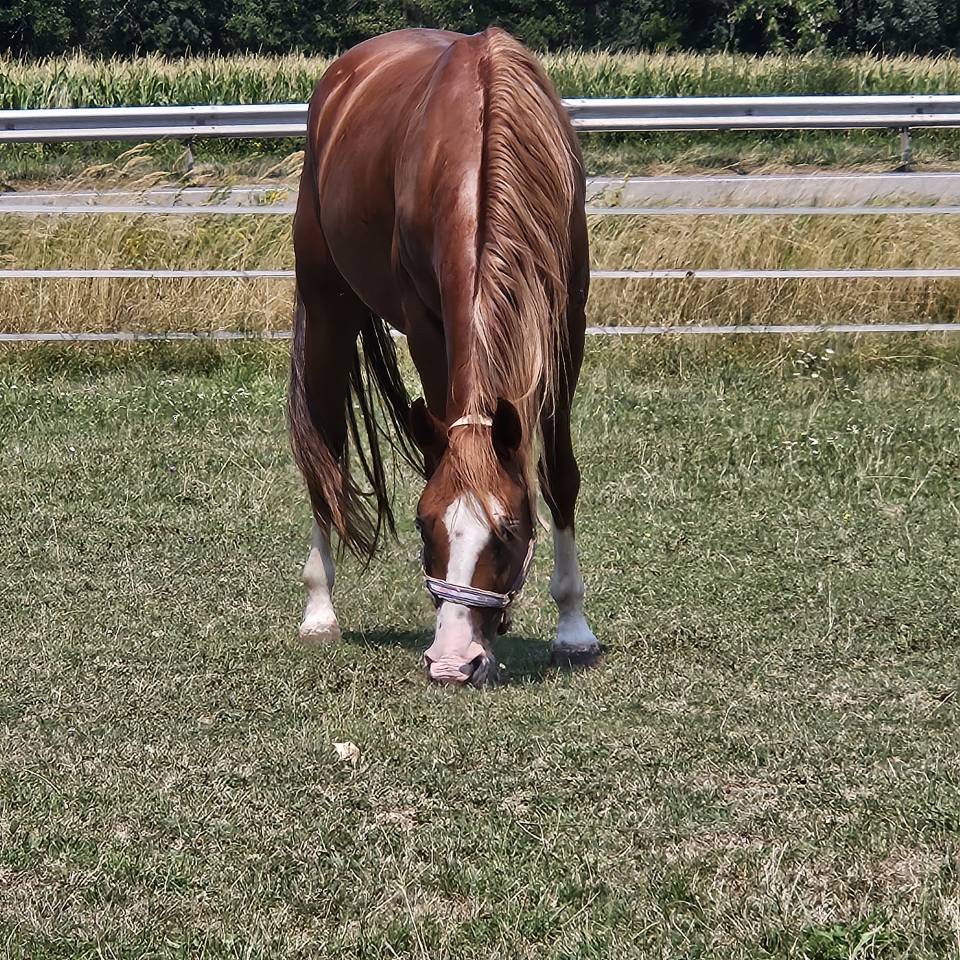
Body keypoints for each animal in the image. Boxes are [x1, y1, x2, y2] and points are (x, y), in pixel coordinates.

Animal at [288, 27, 599, 685]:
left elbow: (559, 473)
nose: (455, 661)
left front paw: (573, 628)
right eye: (424, 524)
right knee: (326, 456)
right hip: (326, 310)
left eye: (509, 531)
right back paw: (320, 610)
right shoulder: (427, 326)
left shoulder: (567, 324)